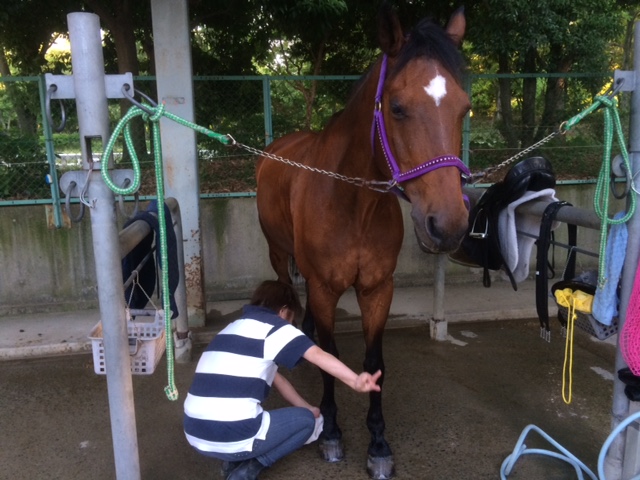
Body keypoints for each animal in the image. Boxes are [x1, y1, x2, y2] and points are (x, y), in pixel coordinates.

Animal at [255, 5, 470, 479]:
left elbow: (374, 364)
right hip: (278, 254)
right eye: (397, 107)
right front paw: (333, 433)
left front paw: (378, 442)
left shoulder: (376, 289)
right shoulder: (323, 287)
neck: (353, 204)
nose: (448, 225)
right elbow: (330, 356)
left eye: (464, 108)